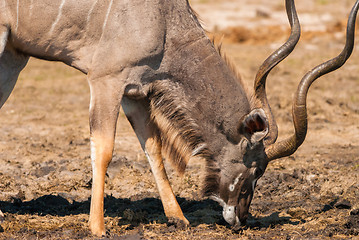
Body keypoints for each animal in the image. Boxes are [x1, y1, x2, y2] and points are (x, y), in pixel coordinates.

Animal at [0, 0, 359, 236]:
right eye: (257, 169)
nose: (240, 218)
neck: (163, 21)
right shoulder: (106, 80)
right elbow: (104, 149)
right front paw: (97, 227)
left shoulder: (135, 92)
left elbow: (153, 148)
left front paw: (179, 219)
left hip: (13, 57)